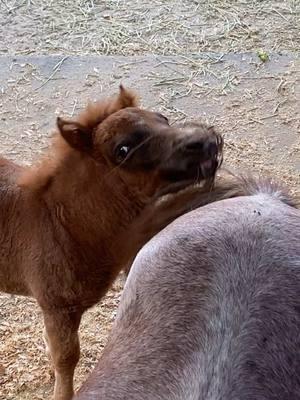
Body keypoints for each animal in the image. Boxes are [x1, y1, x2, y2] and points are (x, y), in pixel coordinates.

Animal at [0, 86, 220, 400]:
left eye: (162, 118)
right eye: (122, 150)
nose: (203, 142)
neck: (63, 224)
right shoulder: (56, 306)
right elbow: (66, 359)